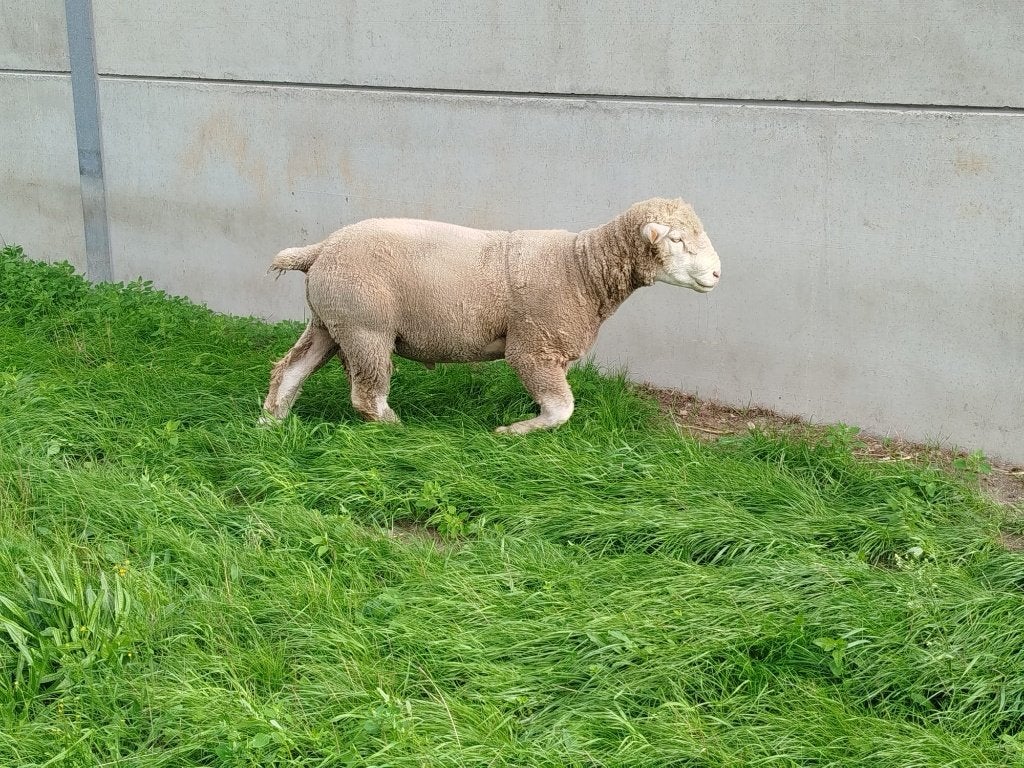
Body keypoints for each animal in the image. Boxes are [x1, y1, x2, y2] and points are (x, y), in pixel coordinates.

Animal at [262, 198, 721, 433]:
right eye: (676, 240)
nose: (718, 273)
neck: (582, 267)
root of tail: (320, 249)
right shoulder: (532, 347)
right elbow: (561, 409)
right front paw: (513, 432)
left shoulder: (549, 351)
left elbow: (558, 403)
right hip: (365, 327)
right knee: (367, 396)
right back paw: (398, 428)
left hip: (330, 321)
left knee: (289, 370)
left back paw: (272, 423)